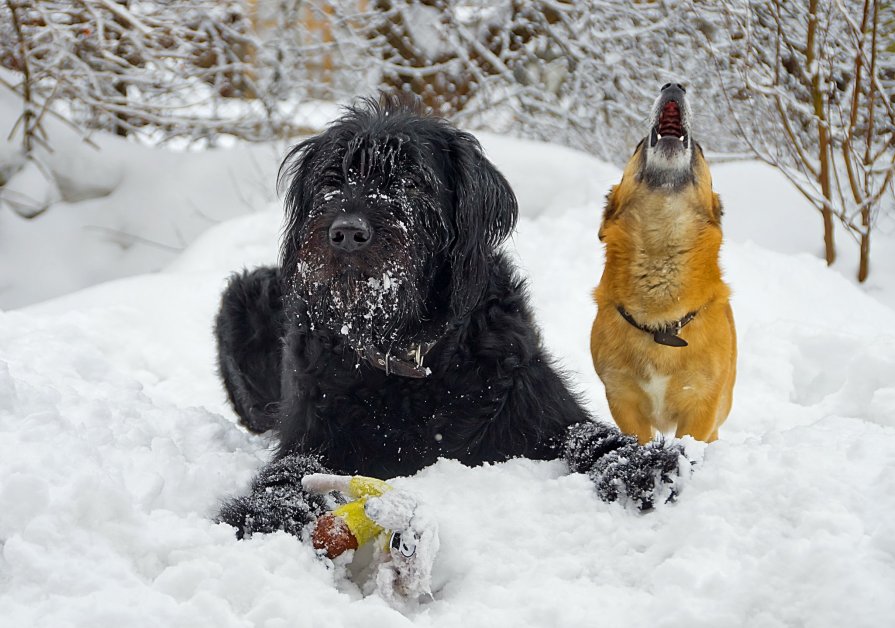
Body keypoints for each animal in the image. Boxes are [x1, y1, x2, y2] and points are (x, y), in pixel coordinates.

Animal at [215, 99, 688, 540]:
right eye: (333, 178)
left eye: (411, 180)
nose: (347, 232)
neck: (405, 352)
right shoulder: (313, 431)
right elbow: (293, 470)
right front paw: (263, 511)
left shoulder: (537, 406)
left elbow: (586, 435)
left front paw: (636, 465)